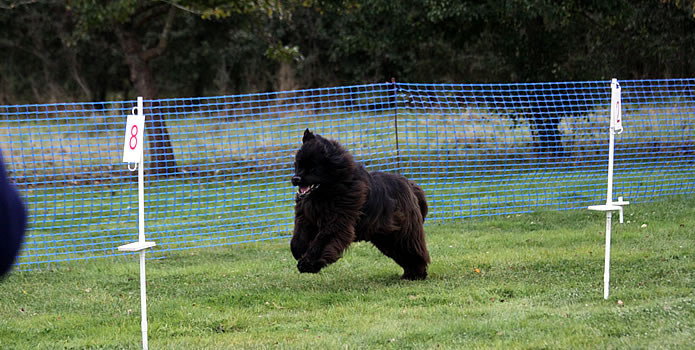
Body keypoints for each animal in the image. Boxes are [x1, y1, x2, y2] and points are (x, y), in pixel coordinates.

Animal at [290, 129, 430, 278]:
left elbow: (322, 241)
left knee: (413, 251)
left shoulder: (337, 222)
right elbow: (297, 239)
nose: (295, 178)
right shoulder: (305, 218)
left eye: (313, 168)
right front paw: (299, 252)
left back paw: (414, 275)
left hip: (403, 233)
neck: (326, 192)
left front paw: (307, 264)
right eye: (298, 164)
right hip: (386, 236)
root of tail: (410, 185)